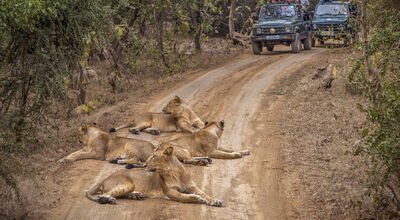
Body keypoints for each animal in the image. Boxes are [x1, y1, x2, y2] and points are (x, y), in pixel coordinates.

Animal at [85, 146, 222, 206]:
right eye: (150, 156)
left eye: (154, 156)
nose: (144, 164)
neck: (174, 172)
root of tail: (104, 179)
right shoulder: (169, 192)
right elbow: (185, 197)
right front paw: (198, 199)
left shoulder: (192, 187)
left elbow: (204, 193)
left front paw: (214, 200)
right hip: (126, 184)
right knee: (103, 195)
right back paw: (110, 199)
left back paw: (136, 195)